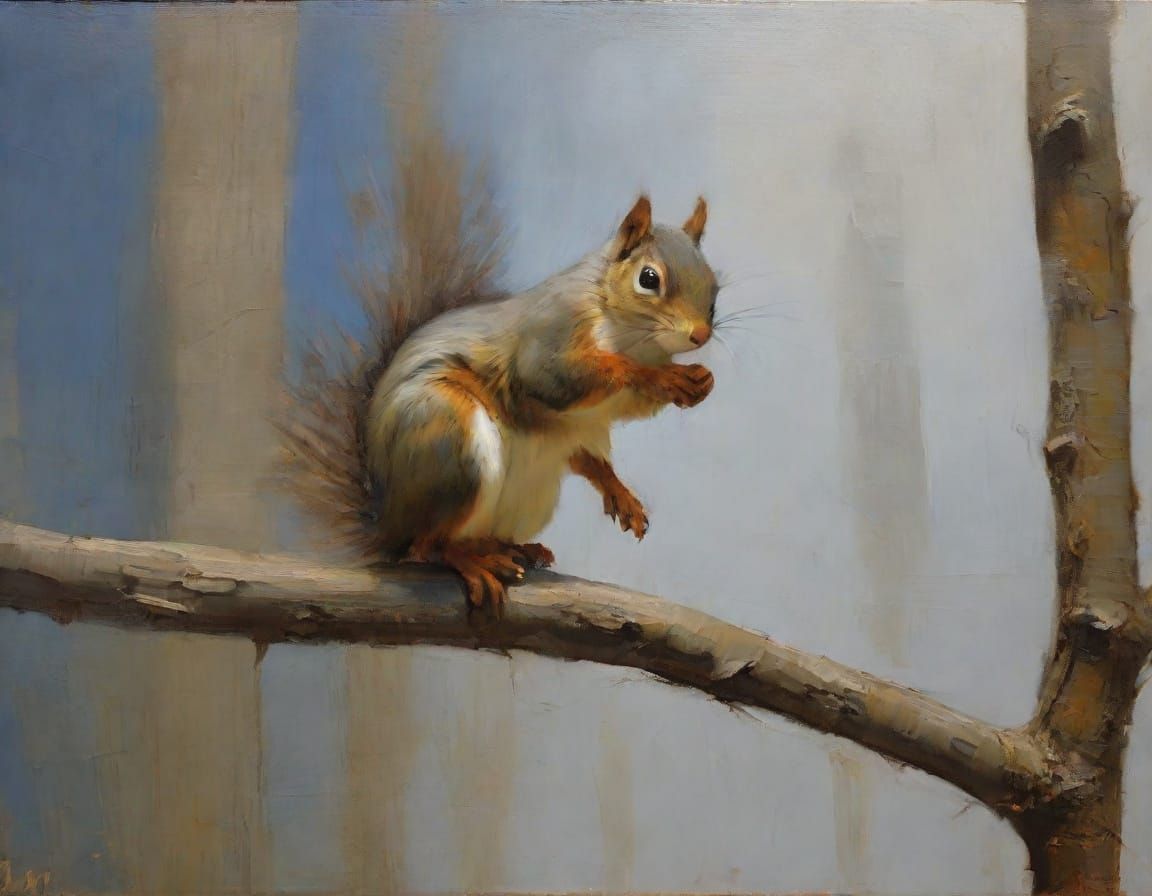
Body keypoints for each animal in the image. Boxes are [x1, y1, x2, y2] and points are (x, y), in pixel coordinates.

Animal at [281, 140, 719, 609]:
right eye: (648, 278)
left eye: (714, 285)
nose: (700, 335)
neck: (631, 334)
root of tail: (387, 522)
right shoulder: (550, 339)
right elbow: (564, 376)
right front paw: (665, 378)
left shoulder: (595, 418)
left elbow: (606, 436)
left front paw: (695, 385)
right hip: (449, 442)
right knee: (427, 545)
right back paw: (471, 561)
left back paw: (513, 546)